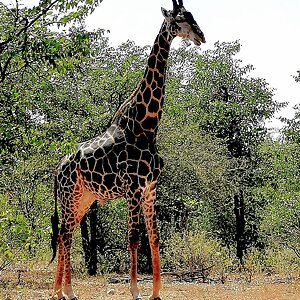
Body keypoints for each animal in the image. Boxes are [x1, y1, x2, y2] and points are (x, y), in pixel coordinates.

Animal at [51, 1, 205, 298]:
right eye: (179, 19)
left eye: (194, 17)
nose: (201, 36)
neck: (146, 126)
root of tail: (56, 170)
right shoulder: (133, 188)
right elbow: (133, 238)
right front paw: (135, 290)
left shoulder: (151, 187)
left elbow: (154, 237)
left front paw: (156, 292)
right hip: (69, 196)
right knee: (65, 234)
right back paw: (67, 291)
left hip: (84, 198)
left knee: (66, 233)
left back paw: (61, 290)